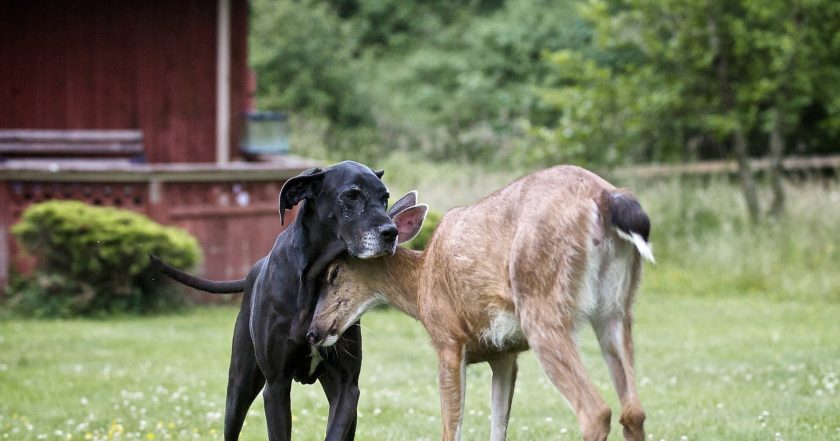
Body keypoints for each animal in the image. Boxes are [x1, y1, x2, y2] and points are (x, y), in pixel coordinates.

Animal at [153, 162, 398, 440]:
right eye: (351, 195)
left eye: (384, 197)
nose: (391, 232)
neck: (313, 280)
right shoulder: (276, 385)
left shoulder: (347, 386)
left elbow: (335, 430)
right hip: (239, 387)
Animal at [306, 166, 652, 440]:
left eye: (333, 272)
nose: (313, 331)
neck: (421, 282)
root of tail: (606, 198)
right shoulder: (505, 353)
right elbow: (498, 428)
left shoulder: (448, 339)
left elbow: (451, 429)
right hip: (617, 309)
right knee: (633, 412)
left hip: (543, 306)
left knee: (596, 412)